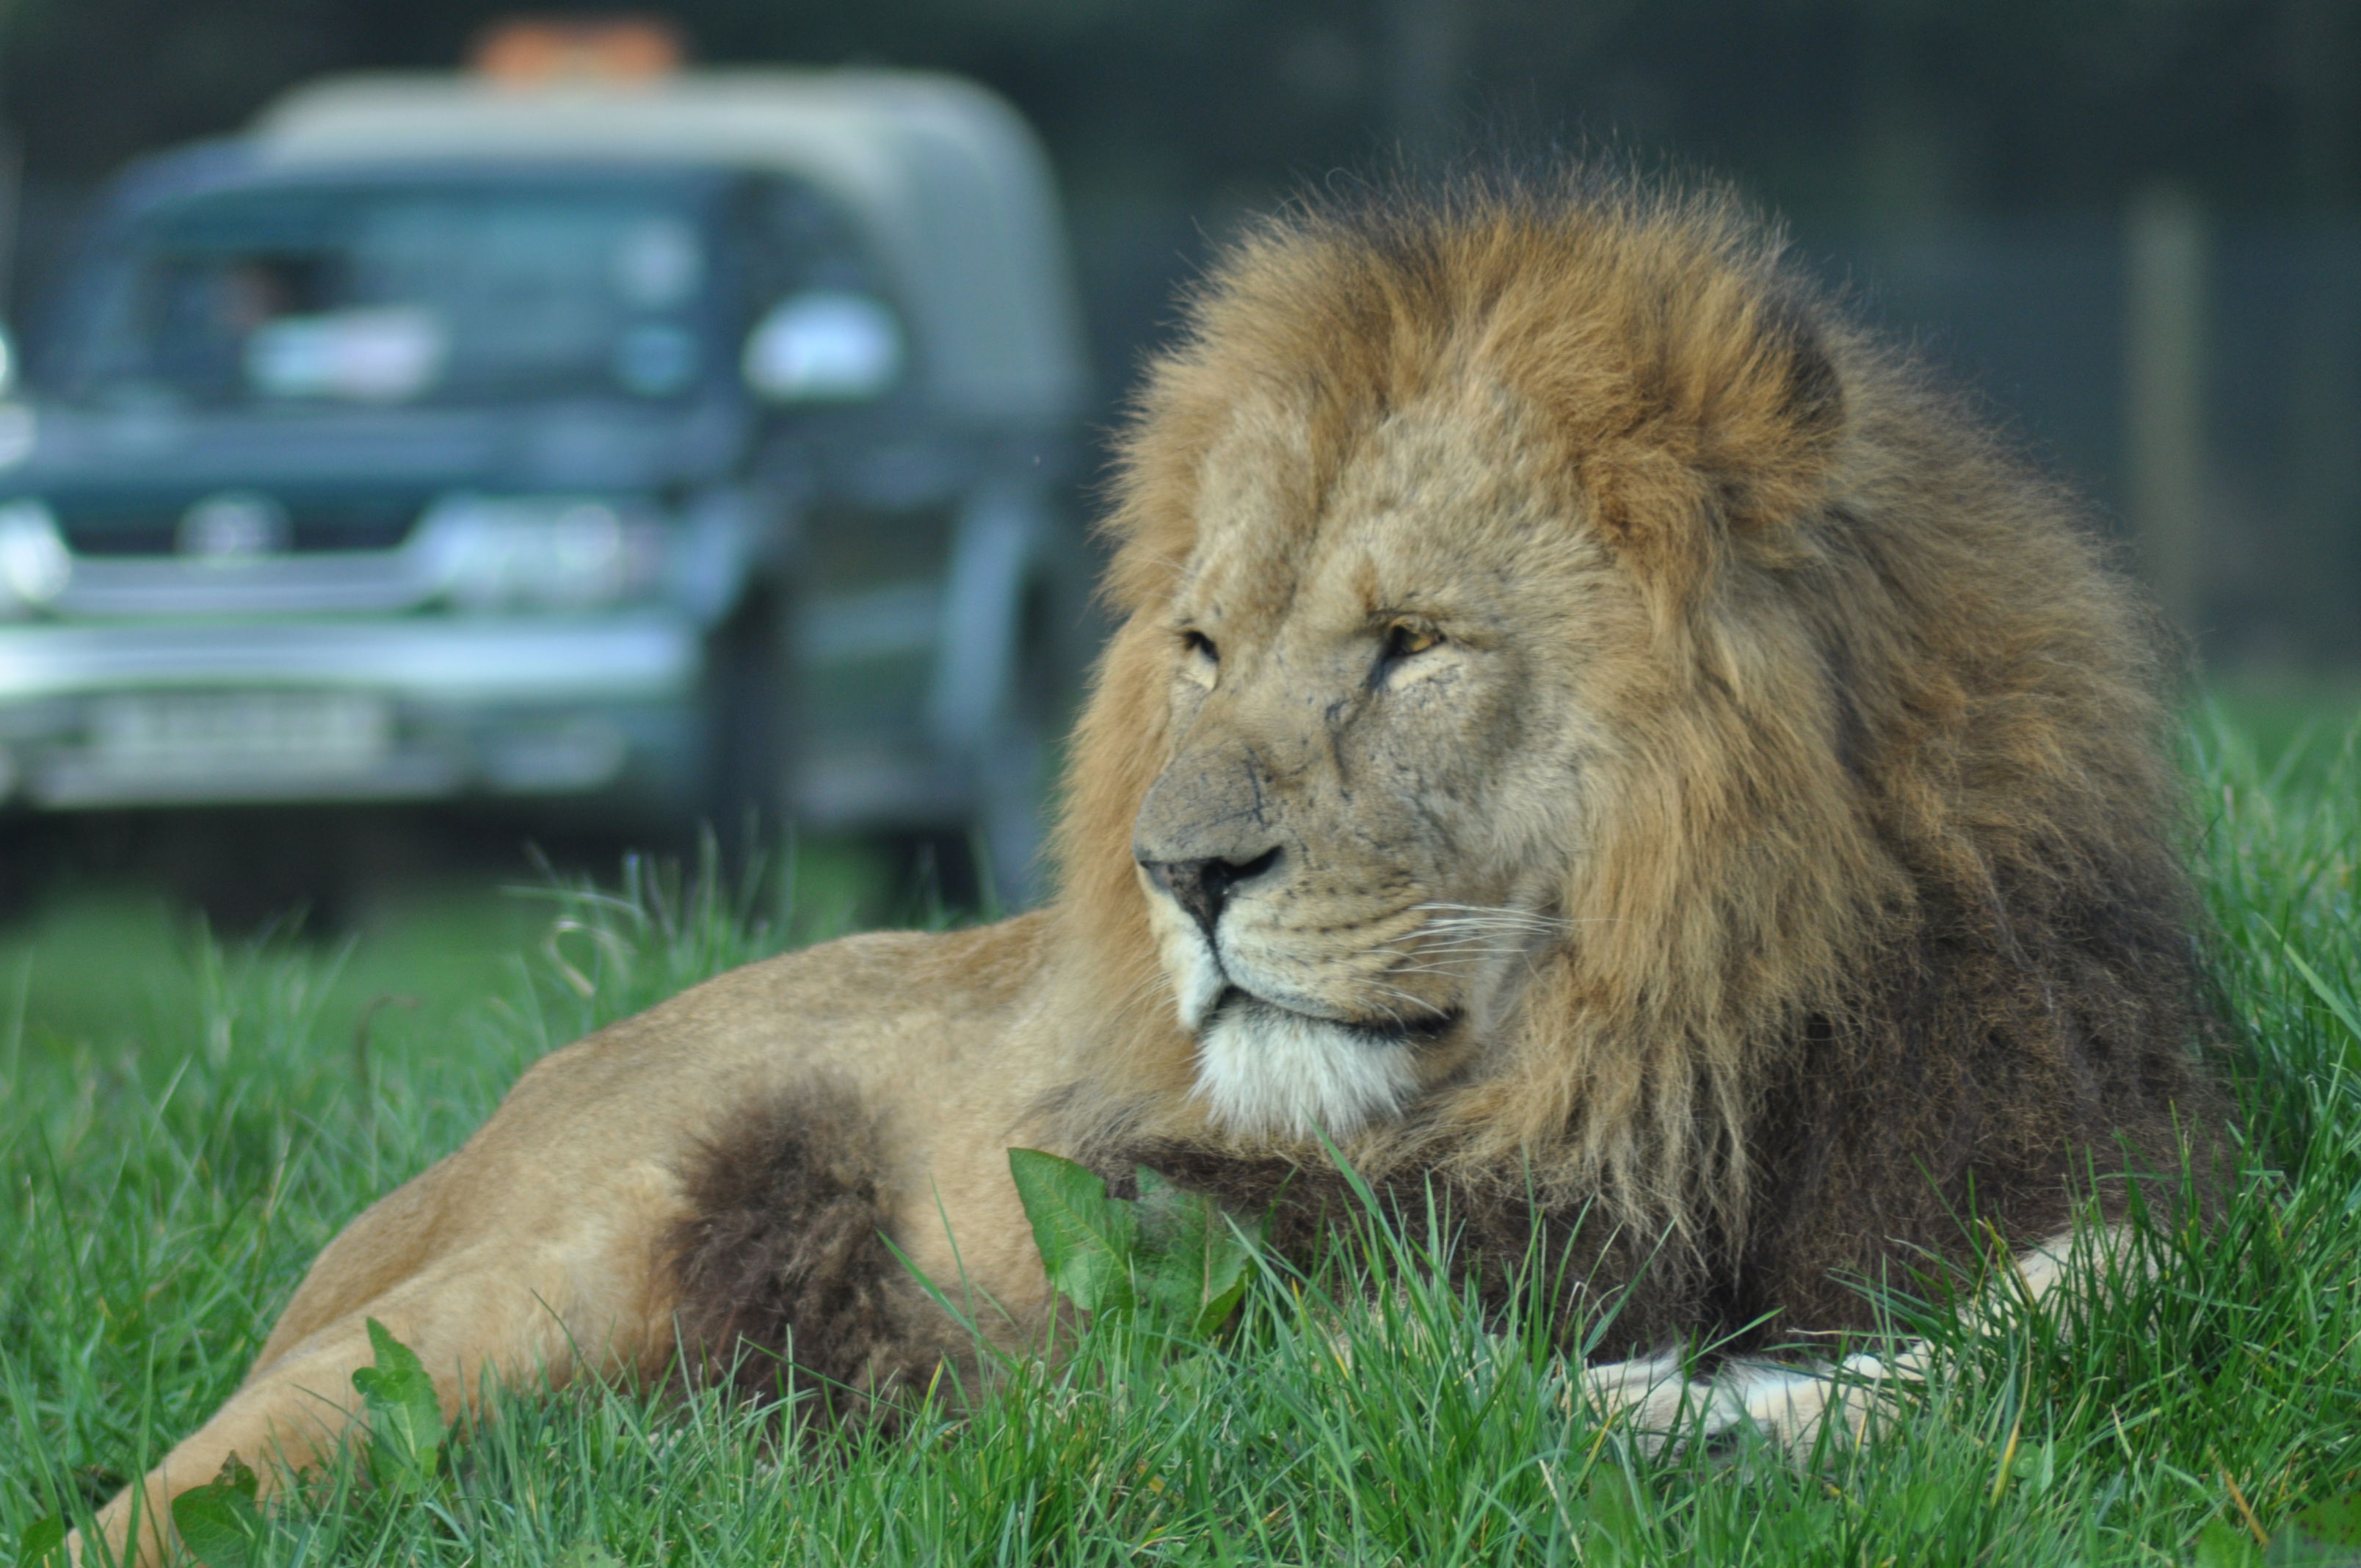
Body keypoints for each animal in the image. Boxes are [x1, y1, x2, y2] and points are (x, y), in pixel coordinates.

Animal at [78, 169, 2228, 1558]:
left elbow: (2107, 1280)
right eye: (1203, 647)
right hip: (517, 1275)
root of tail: (409, 1187)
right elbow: (1481, 1384)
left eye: (1407, 644)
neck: (1659, 1082)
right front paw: (1730, 1419)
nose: (1177, 874)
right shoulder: (1241, 1333)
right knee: (152, 1505)